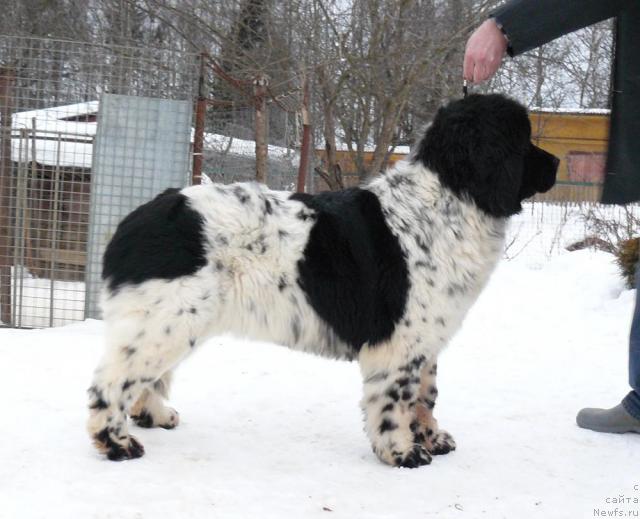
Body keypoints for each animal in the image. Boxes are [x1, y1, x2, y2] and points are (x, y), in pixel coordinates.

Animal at [87, 93, 556, 468]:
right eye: (521, 140)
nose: (555, 162)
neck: (451, 198)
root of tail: (135, 219)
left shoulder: (427, 338)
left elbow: (426, 394)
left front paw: (431, 438)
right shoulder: (399, 342)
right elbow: (397, 399)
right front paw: (403, 452)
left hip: (177, 320)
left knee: (143, 377)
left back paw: (155, 416)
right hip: (165, 320)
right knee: (111, 382)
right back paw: (116, 443)